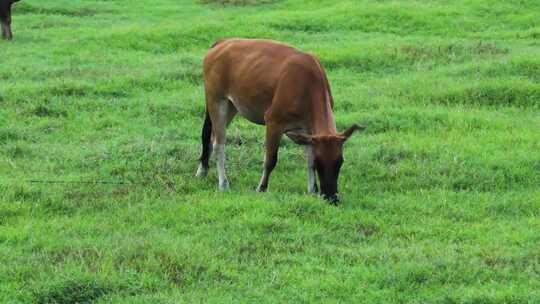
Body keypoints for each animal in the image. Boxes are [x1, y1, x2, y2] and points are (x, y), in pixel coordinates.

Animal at [196, 38, 364, 204]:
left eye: (339, 162)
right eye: (319, 163)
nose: (331, 197)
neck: (306, 85)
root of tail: (222, 42)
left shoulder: (308, 132)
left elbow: (308, 159)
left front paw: (313, 189)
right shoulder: (273, 122)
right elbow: (271, 160)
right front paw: (261, 188)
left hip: (232, 106)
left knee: (211, 137)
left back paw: (203, 170)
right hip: (216, 99)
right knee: (219, 143)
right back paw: (223, 183)